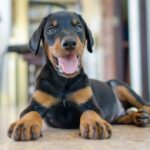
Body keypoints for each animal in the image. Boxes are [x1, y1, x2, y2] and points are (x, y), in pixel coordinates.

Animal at [7, 11, 150, 141]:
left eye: (78, 27)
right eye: (51, 30)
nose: (70, 43)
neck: (64, 82)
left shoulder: (92, 105)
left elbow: (89, 111)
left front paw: (95, 124)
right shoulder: (35, 104)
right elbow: (31, 112)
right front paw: (25, 124)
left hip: (119, 85)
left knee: (144, 105)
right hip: (117, 114)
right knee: (124, 115)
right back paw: (139, 117)